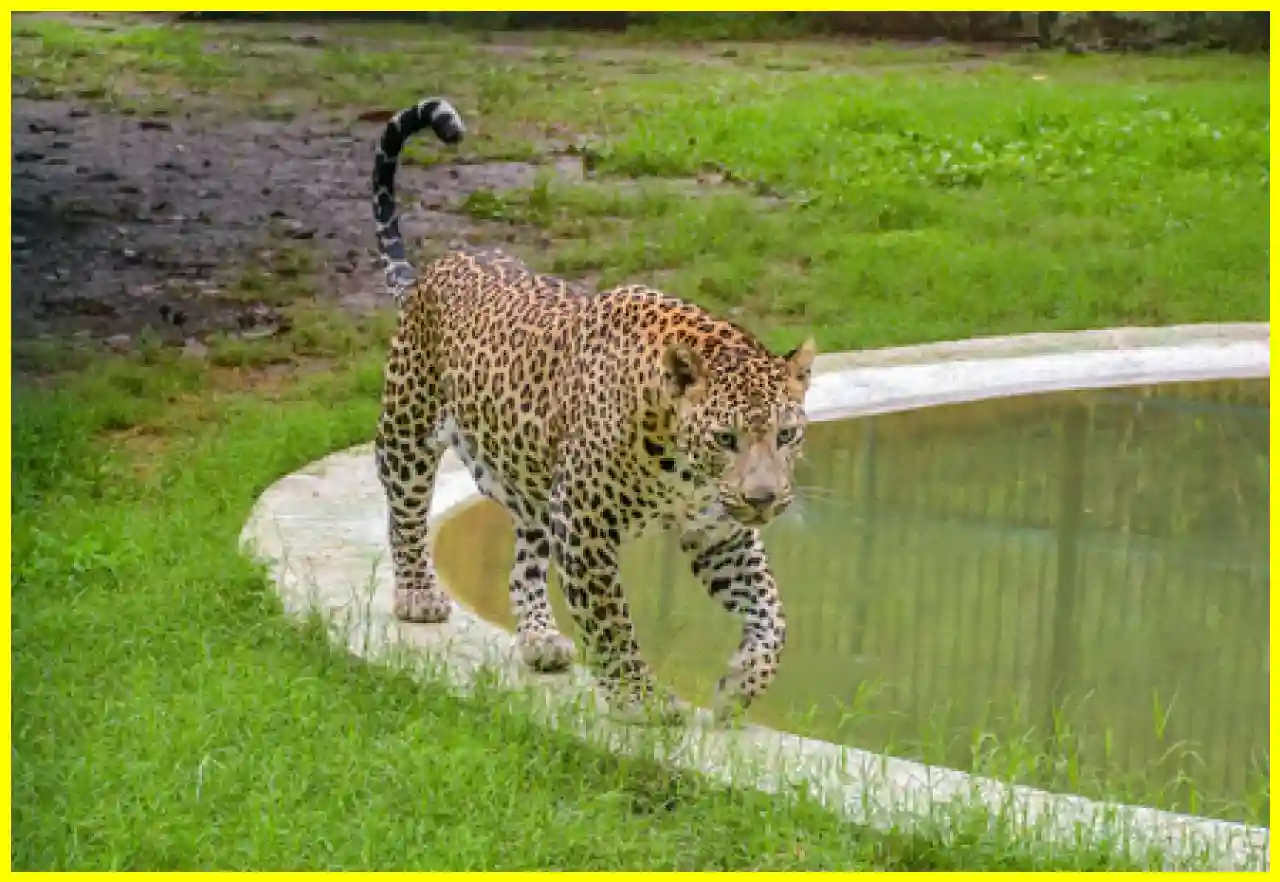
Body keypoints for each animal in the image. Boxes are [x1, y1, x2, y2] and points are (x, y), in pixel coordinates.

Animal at [370, 96, 817, 724]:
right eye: (725, 439)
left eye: (786, 436)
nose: (764, 498)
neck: (680, 464)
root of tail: (433, 271)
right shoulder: (584, 525)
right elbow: (611, 621)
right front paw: (640, 699)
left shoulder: (718, 533)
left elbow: (774, 614)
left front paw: (740, 685)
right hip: (408, 427)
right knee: (406, 513)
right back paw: (417, 594)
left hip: (533, 483)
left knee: (523, 567)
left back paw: (538, 637)